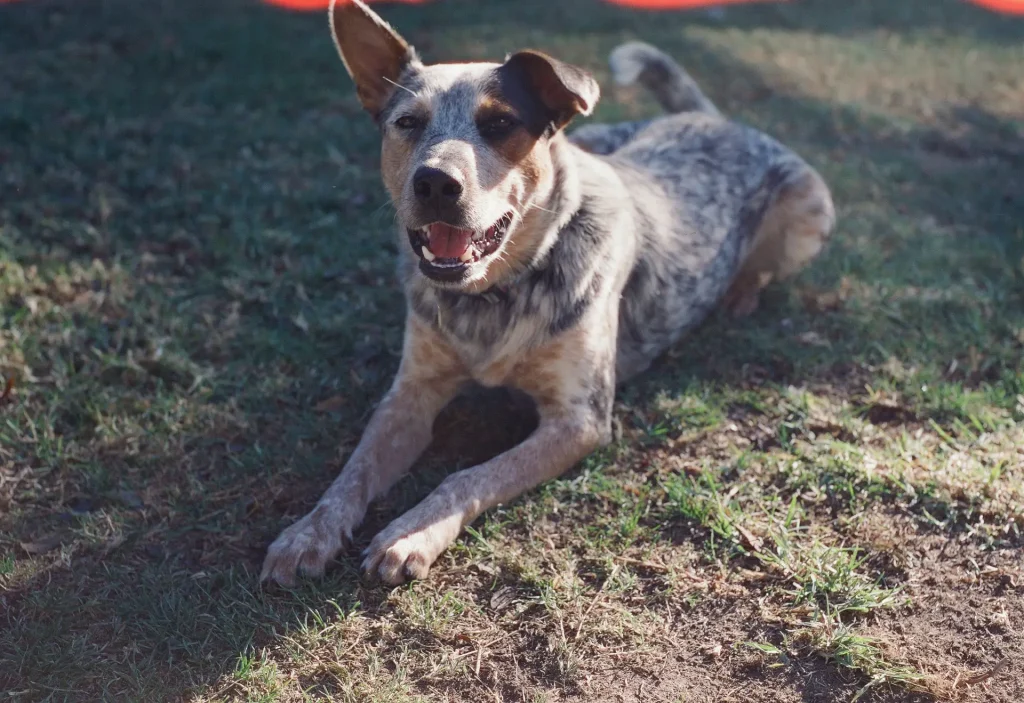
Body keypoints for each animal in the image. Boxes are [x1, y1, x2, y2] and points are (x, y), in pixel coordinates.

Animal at [260, 0, 835, 585]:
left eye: (500, 123)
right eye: (407, 123)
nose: (436, 183)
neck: (493, 296)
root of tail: (716, 119)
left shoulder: (579, 420)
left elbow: (468, 477)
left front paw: (410, 532)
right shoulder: (411, 393)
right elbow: (353, 471)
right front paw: (307, 533)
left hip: (809, 215)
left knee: (764, 268)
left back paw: (740, 295)